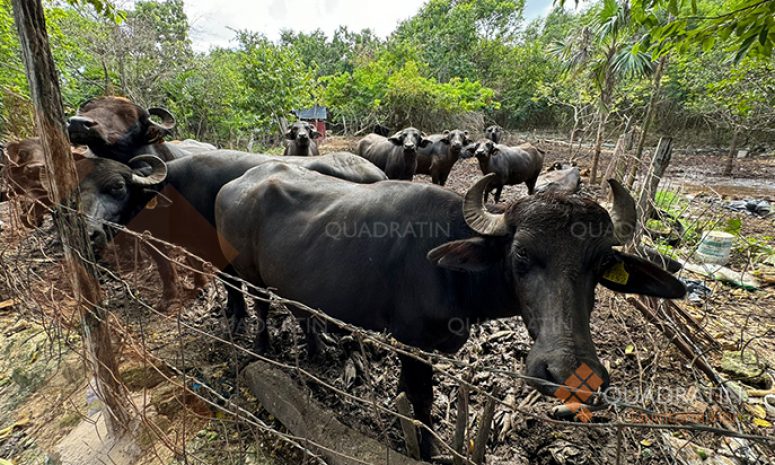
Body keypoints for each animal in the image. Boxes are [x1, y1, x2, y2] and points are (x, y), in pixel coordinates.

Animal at [79, 150, 388, 320]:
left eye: (118, 187)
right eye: (80, 190)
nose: (90, 232)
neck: (177, 192)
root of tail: (378, 172)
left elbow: (231, 282)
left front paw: (237, 313)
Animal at [215, 165, 688, 458]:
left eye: (601, 264)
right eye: (521, 255)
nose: (570, 372)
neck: (451, 272)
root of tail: (233, 186)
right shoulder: (412, 343)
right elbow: (421, 402)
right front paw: (426, 449)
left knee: (300, 311)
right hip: (246, 272)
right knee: (257, 303)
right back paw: (260, 345)